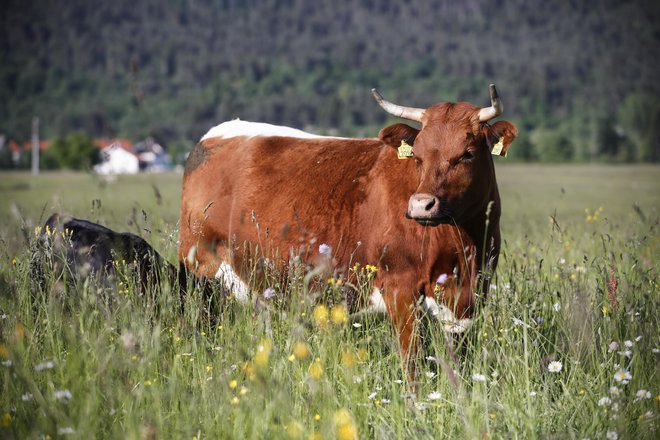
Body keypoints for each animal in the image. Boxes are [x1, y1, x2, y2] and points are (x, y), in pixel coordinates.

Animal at [179, 84, 516, 370]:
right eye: (417, 157)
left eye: (467, 154)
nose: (421, 205)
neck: (461, 244)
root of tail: (213, 137)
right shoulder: (401, 290)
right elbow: (412, 363)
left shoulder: (470, 296)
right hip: (199, 272)